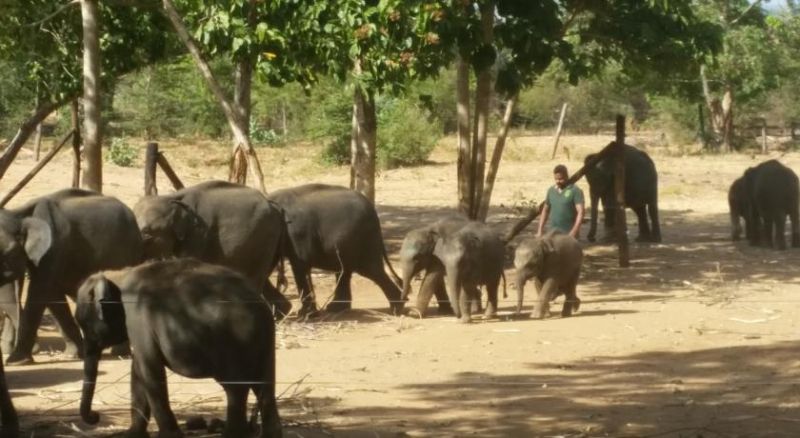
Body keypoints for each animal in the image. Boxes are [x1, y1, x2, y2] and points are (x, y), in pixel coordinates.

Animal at [0, 189, 143, 365]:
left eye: (10, 252)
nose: (36, 348)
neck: (19, 214)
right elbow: (52, 296)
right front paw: (74, 355)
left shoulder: (53, 249)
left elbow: (40, 291)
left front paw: (16, 361)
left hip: (129, 253)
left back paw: (119, 353)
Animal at [76, 258, 282, 438]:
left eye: (85, 325)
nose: (95, 416)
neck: (119, 275)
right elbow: (138, 373)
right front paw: (132, 435)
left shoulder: (137, 319)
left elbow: (150, 369)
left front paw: (170, 435)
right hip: (264, 344)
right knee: (264, 388)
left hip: (234, 342)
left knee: (236, 389)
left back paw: (231, 434)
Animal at [133, 180, 300, 318]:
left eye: (146, 233)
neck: (172, 197)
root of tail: (274, 206)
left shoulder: (199, 234)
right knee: (263, 279)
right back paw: (279, 315)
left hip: (264, 240)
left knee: (256, 278)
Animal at [267, 184, 403, 316]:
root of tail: (374, 212)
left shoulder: (298, 232)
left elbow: (301, 264)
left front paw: (305, 314)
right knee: (345, 270)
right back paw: (336, 308)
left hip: (364, 239)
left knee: (371, 270)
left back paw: (397, 309)